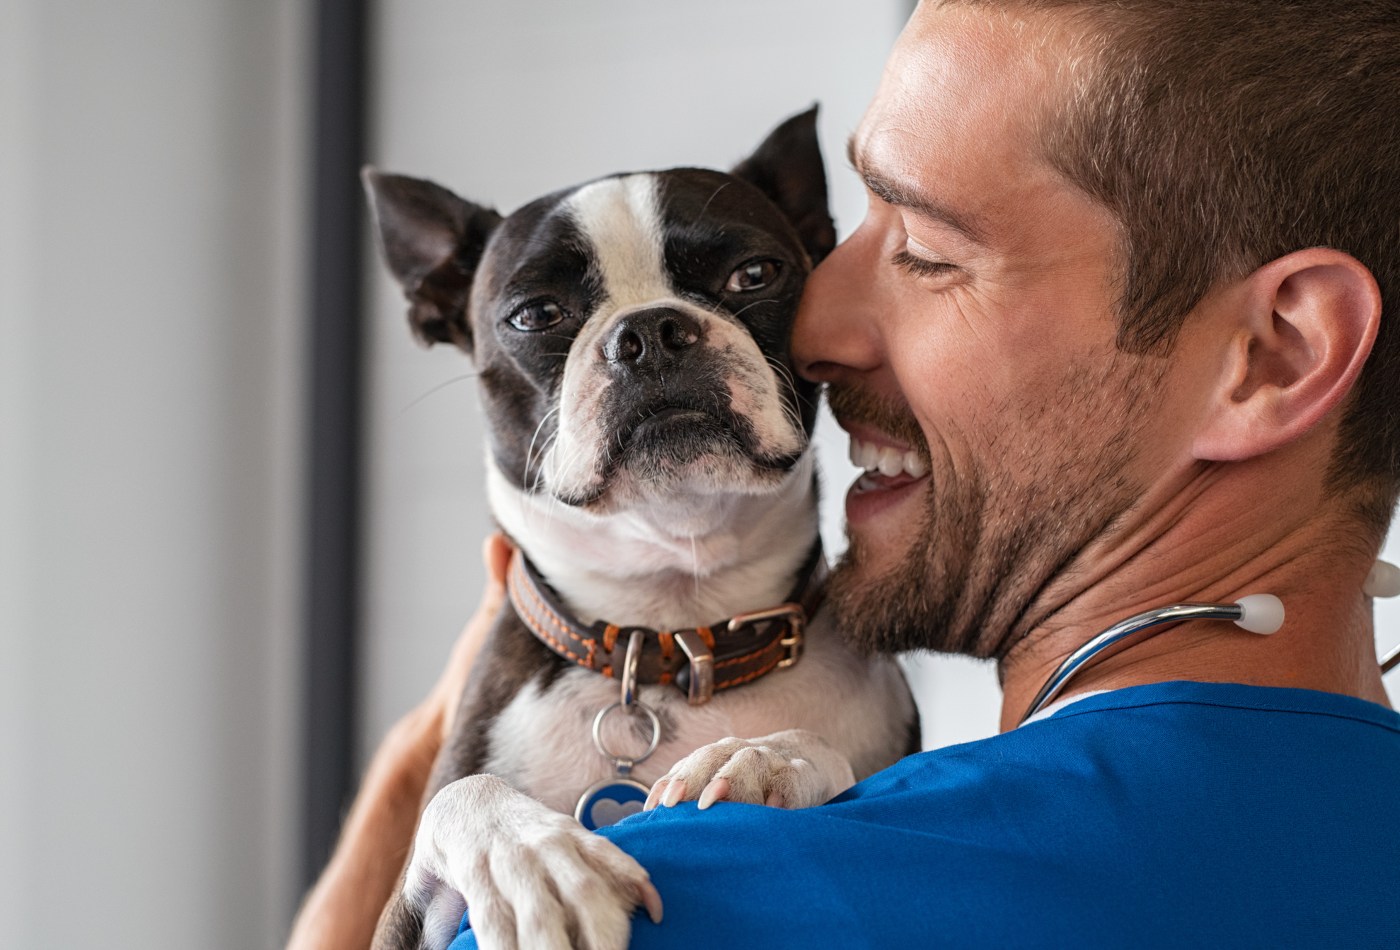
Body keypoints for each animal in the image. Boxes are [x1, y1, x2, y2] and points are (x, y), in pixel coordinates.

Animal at [358, 107, 918, 950]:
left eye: (755, 274)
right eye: (535, 315)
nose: (651, 330)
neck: (670, 632)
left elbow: (823, 754)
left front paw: (764, 757)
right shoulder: (399, 922)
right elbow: (462, 795)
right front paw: (534, 859)